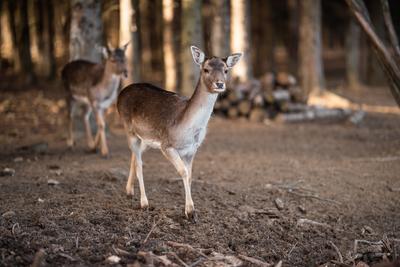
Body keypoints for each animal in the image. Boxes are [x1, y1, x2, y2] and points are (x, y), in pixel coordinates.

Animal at [115, 46, 241, 222]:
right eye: (206, 69)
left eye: (226, 70)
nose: (220, 83)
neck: (187, 130)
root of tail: (121, 93)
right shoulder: (166, 145)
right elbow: (183, 172)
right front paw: (190, 211)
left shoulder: (192, 150)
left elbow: (190, 175)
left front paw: (190, 211)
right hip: (129, 129)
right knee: (139, 163)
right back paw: (144, 203)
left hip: (145, 139)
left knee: (135, 157)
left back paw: (129, 191)